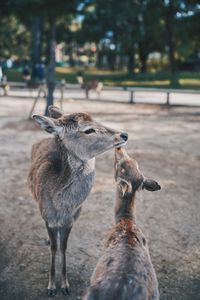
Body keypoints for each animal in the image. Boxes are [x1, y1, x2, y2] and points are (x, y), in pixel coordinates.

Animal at [27, 106, 127, 298]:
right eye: (88, 130)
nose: (124, 134)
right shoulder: (48, 218)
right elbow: (54, 248)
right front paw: (51, 287)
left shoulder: (71, 220)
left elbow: (63, 247)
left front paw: (65, 285)